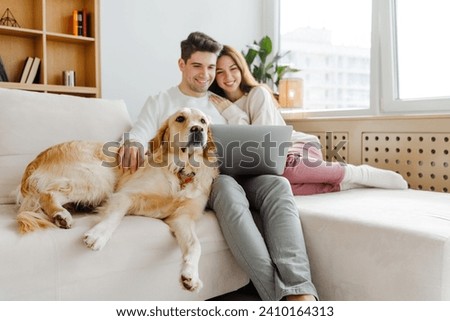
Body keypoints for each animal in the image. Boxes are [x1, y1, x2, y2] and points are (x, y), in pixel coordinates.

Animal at [17, 107, 220, 290]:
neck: (182, 171)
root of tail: (38, 158)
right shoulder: (125, 195)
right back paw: (60, 214)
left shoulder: (182, 218)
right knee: (47, 194)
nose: (197, 130)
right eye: (180, 118)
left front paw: (191, 275)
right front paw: (98, 235)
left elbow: (195, 244)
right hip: (99, 178)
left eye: (203, 121)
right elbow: (115, 216)